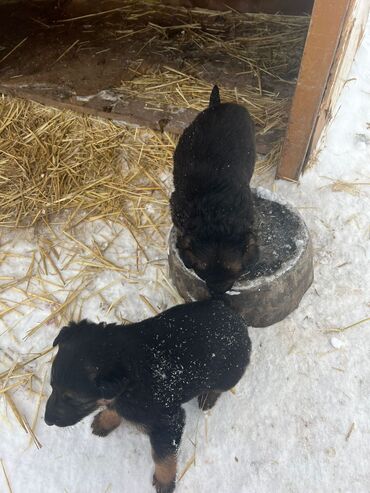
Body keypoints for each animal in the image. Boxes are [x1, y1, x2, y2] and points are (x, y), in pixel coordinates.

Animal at [44, 298, 251, 490]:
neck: (132, 373)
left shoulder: (168, 422)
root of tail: (234, 316)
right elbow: (115, 408)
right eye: (52, 385)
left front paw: (165, 482)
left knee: (219, 388)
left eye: (74, 399)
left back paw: (207, 398)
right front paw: (105, 421)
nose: (47, 421)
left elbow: (163, 457)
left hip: (227, 375)